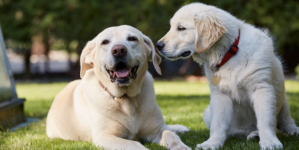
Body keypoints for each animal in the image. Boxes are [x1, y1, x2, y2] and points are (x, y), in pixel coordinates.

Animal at [47, 25, 192, 149]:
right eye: (105, 42)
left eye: (132, 38)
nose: (118, 50)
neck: (126, 99)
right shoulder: (105, 136)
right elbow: (134, 144)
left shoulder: (157, 129)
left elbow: (169, 134)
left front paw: (180, 146)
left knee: (168, 127)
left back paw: (179, 128)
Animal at [157, 2, 299, 150]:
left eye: (181, 28)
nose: (158, 45)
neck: (230, 53)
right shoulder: (220, 94)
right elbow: (218, 123)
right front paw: (212, 143)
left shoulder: (261, 88)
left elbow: (265, 120)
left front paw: (270, 142)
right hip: (209, 113)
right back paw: (253, 134)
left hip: (282, 101)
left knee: (286, 121)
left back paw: (291, 130)